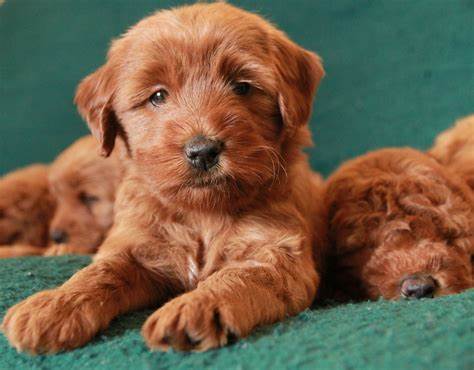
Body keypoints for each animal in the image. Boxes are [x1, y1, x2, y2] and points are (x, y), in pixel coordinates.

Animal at [0, 3, 326, 356]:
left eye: (242, 86)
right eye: (157, 96)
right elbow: (99, 272)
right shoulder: (137, 247)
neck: (202, 213)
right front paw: (54, 306)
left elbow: (238, 278)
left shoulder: (278, 256)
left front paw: (193, 307)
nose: (203, 151)